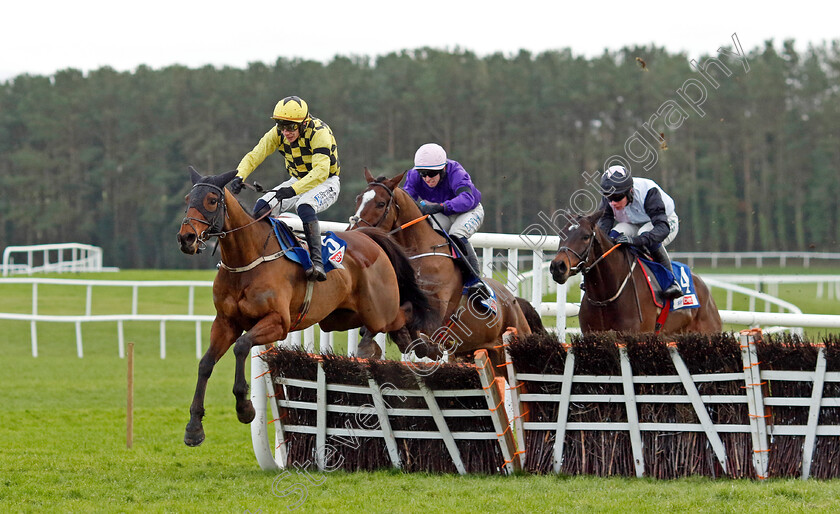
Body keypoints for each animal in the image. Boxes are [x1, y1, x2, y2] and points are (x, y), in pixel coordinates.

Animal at [176, 167, 434, 444]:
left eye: (212, 201)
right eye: (187, 200)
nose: (186, 238)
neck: (247, 260)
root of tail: (369, 237)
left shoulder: (277, 323)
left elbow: (242, 346)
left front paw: (245, 408)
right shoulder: (226, 322)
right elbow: (205, 363)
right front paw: (194, 426)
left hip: (379, 309)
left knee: (402, 313)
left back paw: (419, 345)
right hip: (340, 317)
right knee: (389, 328)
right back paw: (386, 345)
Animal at [346, 170, 540, 370]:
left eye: (381, 203)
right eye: (358, 199)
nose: (354, 232)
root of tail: (514, 300)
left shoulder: (436, 313)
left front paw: (424, 346)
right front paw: (369, 346)